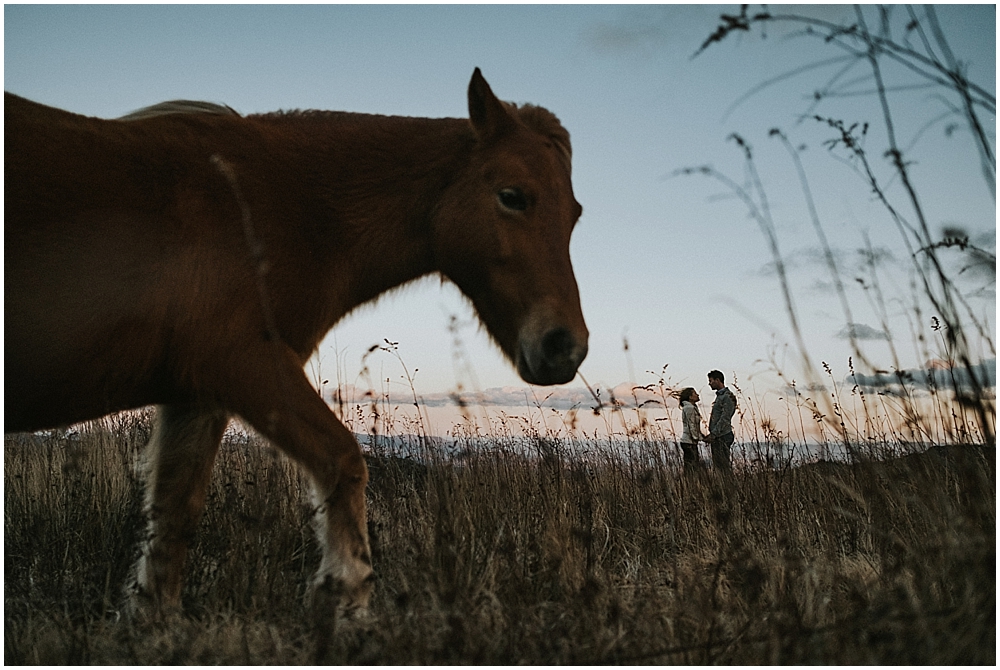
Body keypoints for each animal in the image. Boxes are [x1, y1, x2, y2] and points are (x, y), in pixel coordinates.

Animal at [5, 69, 584, 620]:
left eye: (575, 213)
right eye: (512, 196)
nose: (565, 346)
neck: (268, 205)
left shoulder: (195, 398)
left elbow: (172, 519)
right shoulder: (245, 365)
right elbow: (343, 461)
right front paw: (344, 597)